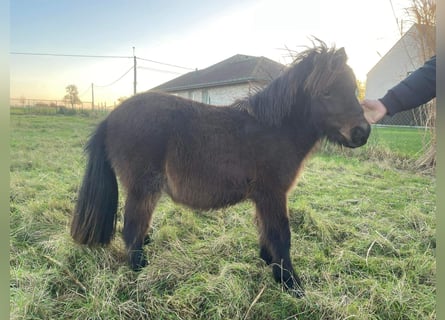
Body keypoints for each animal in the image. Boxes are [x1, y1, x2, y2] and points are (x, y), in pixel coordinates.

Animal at [71, 43, 370, 298]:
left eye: (353, 89)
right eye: (327, 91)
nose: (362, 132)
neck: (274, 129)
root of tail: (111, 117)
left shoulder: (263, 198)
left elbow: (265, 231)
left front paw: (269, 263)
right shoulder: (273, 194)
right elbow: (282, 235)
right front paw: (290, 283)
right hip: (143, 189)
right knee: (132, 229)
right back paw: (140, 271)